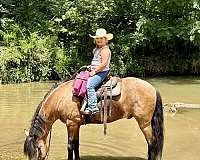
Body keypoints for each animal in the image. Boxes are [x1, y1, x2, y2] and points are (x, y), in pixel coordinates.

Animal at [23, 76, 164, 160]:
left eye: (38, 149)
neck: (61, 98)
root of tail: (153, 89)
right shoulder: (76, 124)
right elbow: (76, 145)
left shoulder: (71, 124)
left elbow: (70, 146)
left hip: (144, 123)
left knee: (152, 143)